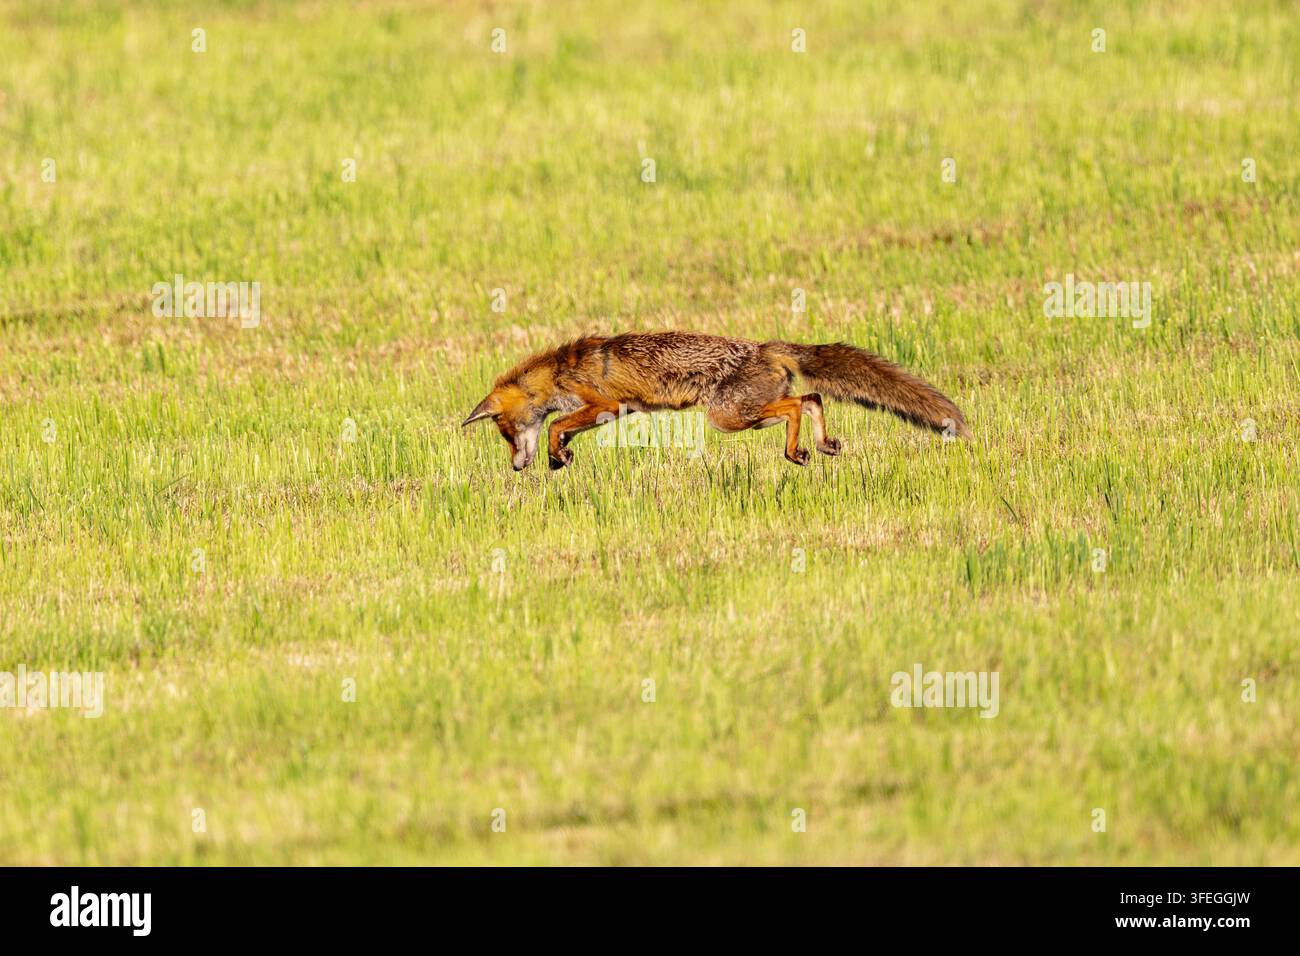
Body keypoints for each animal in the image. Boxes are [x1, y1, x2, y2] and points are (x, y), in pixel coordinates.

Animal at [462, 331, 969, 471]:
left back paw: (795, 452)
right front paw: (561, 455)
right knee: (811, 397)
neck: (558, 373)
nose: (516, 467)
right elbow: (560, 428)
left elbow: (553, 424)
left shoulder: (605, 405)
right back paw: (820, 445)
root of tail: (763, 346)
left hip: (725, 417)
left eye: (506, 434)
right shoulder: (618, 411)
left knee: (796, 406)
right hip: (744, 414)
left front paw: (556, 453)